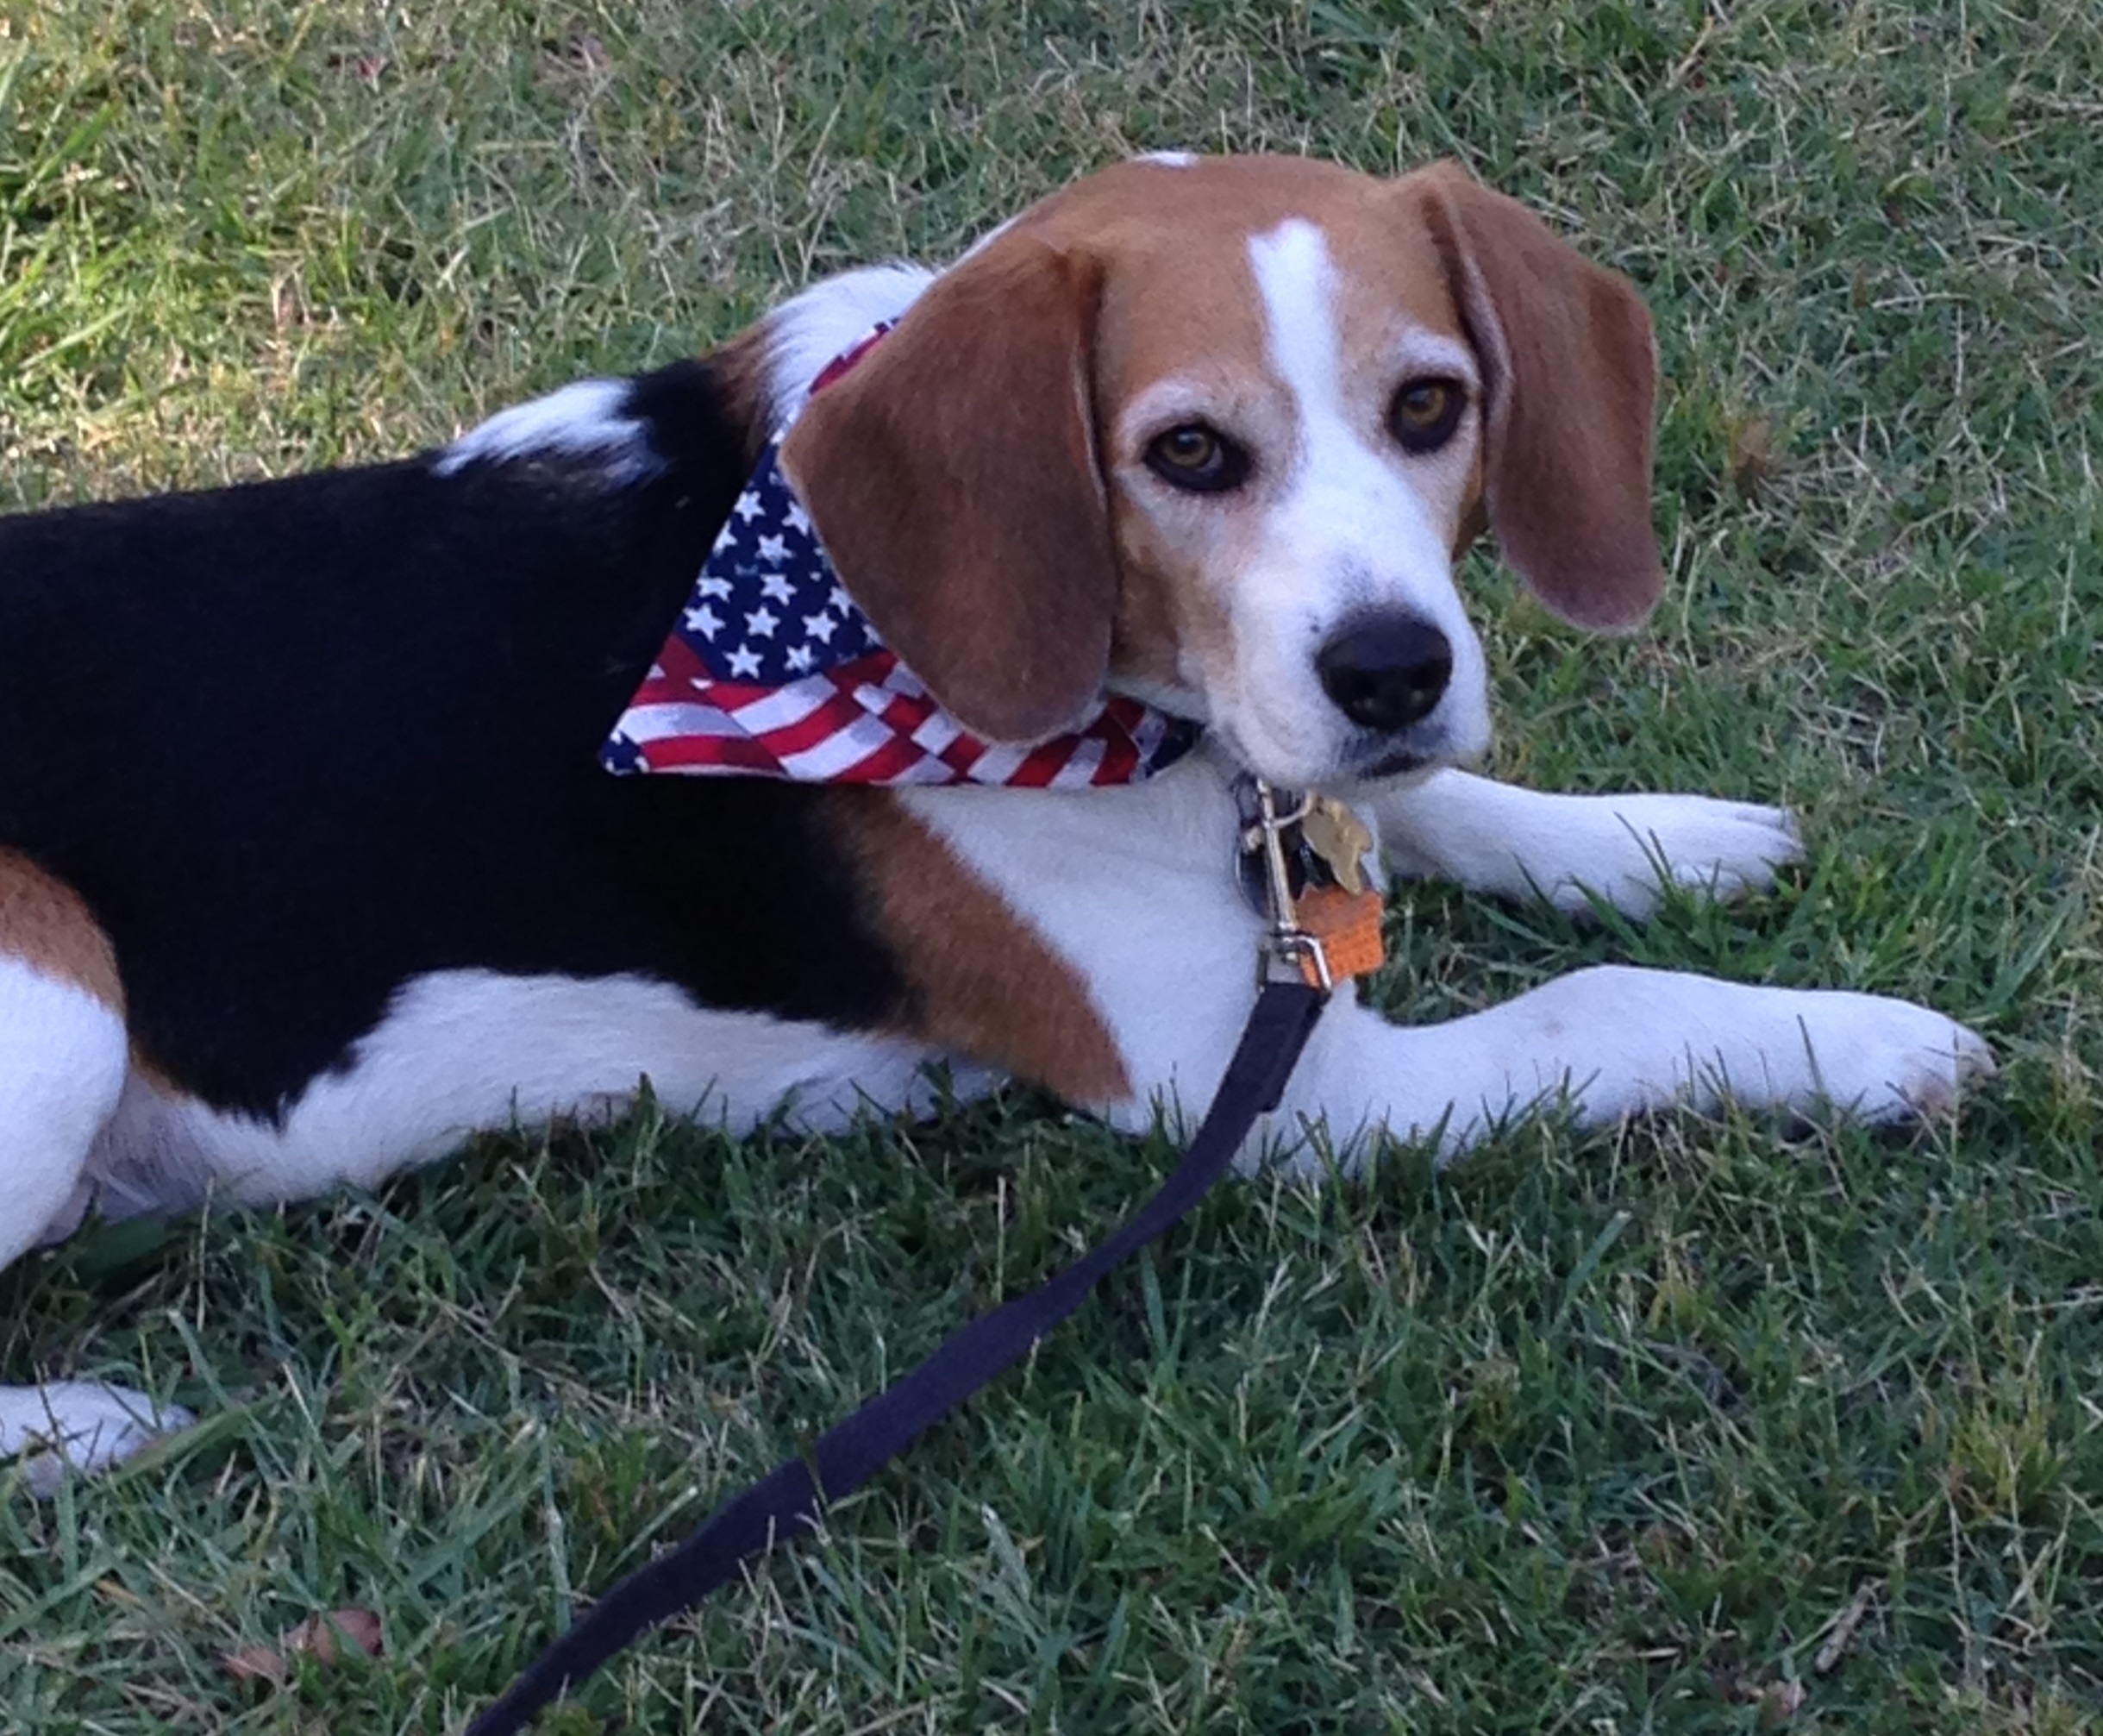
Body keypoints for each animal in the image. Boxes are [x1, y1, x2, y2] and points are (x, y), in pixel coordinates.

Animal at [0, 155, 1985, 1489]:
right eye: (1186, 452)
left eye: (1430, 405)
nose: (1392, 666)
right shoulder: (1281, 1099)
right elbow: (1606, 1002)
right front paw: (1861, 1041)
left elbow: (1442, 810)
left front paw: (1659, 838)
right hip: (59, 986)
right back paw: (85, 1427)